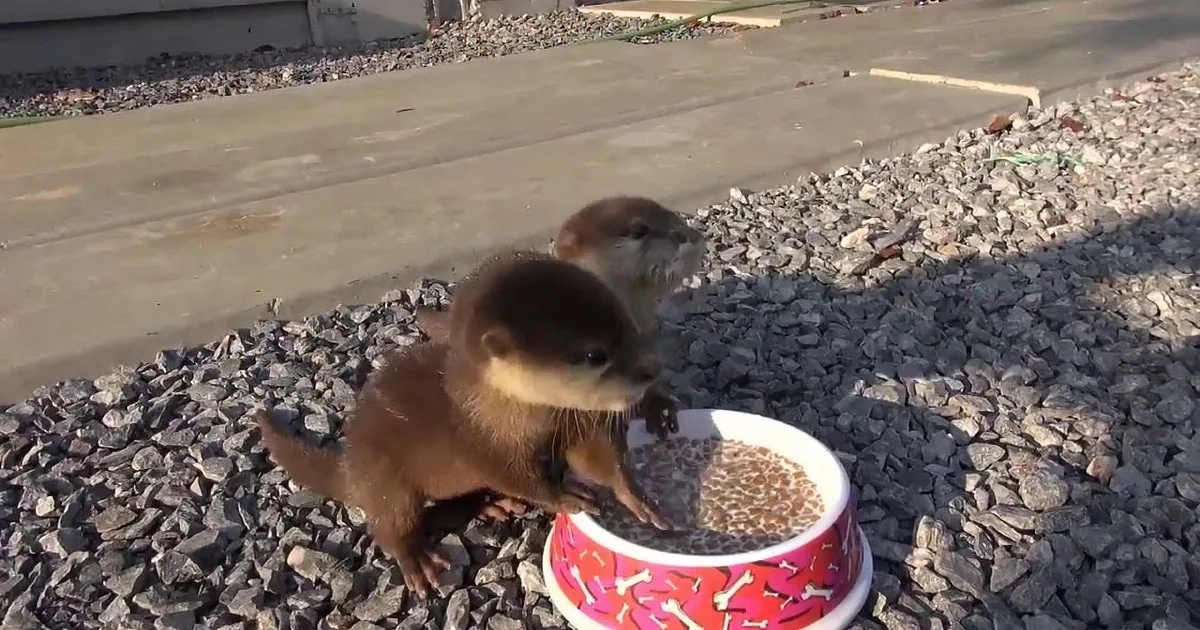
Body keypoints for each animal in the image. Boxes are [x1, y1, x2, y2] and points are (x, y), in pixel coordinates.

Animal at [256, 251, 669, 598]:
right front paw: (566, 495)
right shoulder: (483, 444)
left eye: (627, 324)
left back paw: (490, 506)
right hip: (381, 473)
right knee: (392, 520)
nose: (651, 370)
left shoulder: (571, 421)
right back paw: (417, 561)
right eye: (594, 354)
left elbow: (592, 457)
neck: (501, 411)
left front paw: (635, 495)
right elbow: (519, 478)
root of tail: (349, 463)